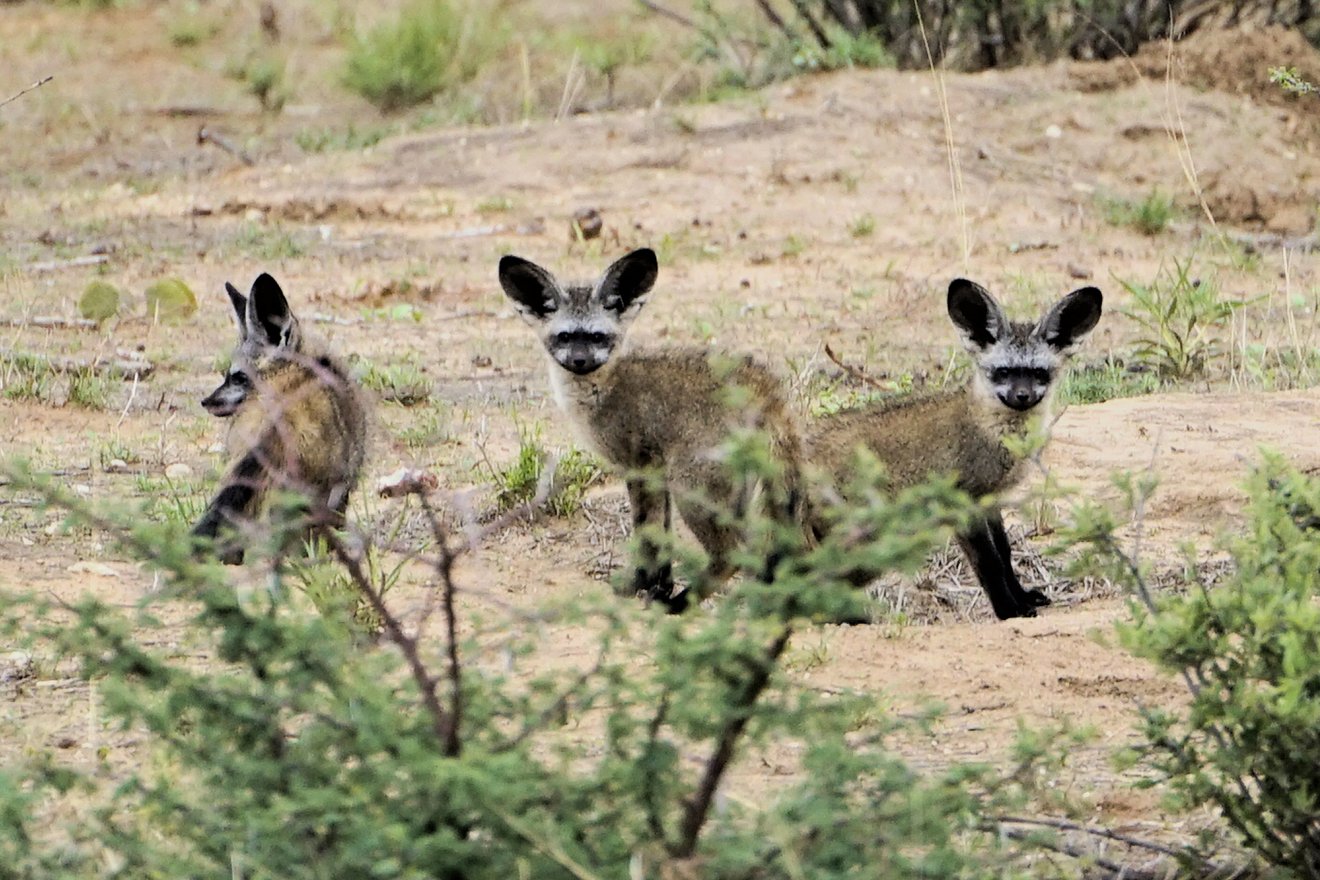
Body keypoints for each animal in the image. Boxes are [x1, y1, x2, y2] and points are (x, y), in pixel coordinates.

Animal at [496, 248, 802, 612]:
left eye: (598, 337)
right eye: (565, 337)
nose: (580, 362)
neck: (604, 390)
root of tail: (764, 387)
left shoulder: (640, 466)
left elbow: (646, 532)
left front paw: (642, 584)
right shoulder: (656, 472)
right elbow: (662, 535)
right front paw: (659, 585)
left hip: (693, 488)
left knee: (732, 553)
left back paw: (682, 603)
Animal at [807, 281, 1098, 620]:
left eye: (1040, 373)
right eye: (1002, 372)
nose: (1022, 396)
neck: (990, 430)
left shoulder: (990, 502)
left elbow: (1005, 554)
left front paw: (1022, 597)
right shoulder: (964, 504)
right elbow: (989, 563)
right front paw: (1009, 610)